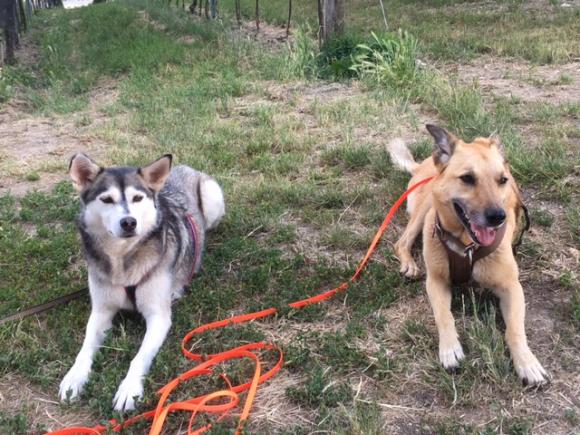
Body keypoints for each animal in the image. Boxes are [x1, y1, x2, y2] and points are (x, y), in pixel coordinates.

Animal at [60, 154, 225, 412]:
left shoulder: (158, 316)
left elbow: (139, 357)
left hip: (212, 196)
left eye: (137, 198)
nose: (129, 222)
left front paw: (129, 389)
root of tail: (182, 167)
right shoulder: (101, 310)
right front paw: (74, 378)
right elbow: (85, 348)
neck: (122, 258)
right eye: (106, 199)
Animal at [390, 125, 548, 384]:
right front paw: (449, 348)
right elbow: (444, 316)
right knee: (401, 242)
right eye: (467, 178)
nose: (498, 217)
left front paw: (527, 362)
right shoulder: (436, 282)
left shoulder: (512, 288)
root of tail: (423, 165)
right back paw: (409, 264)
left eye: (503, 180)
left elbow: (515, 330)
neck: (467, 246)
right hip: (426, 209)